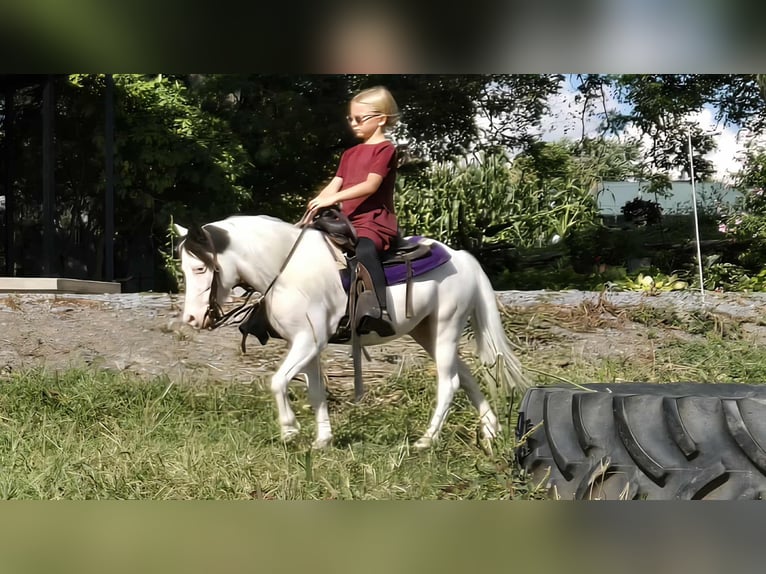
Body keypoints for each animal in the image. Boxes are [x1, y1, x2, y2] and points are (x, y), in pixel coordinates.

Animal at [173, 214, 531, 450]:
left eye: (200, 268)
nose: (191, 318)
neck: (288, 270)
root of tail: (461, 257)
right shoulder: (307, 344)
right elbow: (315, 391)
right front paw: (322, 440)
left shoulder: (308, 341)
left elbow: (277, 381)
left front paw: (290, 430)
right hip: (426, 332)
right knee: (466, 375)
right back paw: (490, 431)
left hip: (446, 326)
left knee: (450, 382)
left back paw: (426, 441)